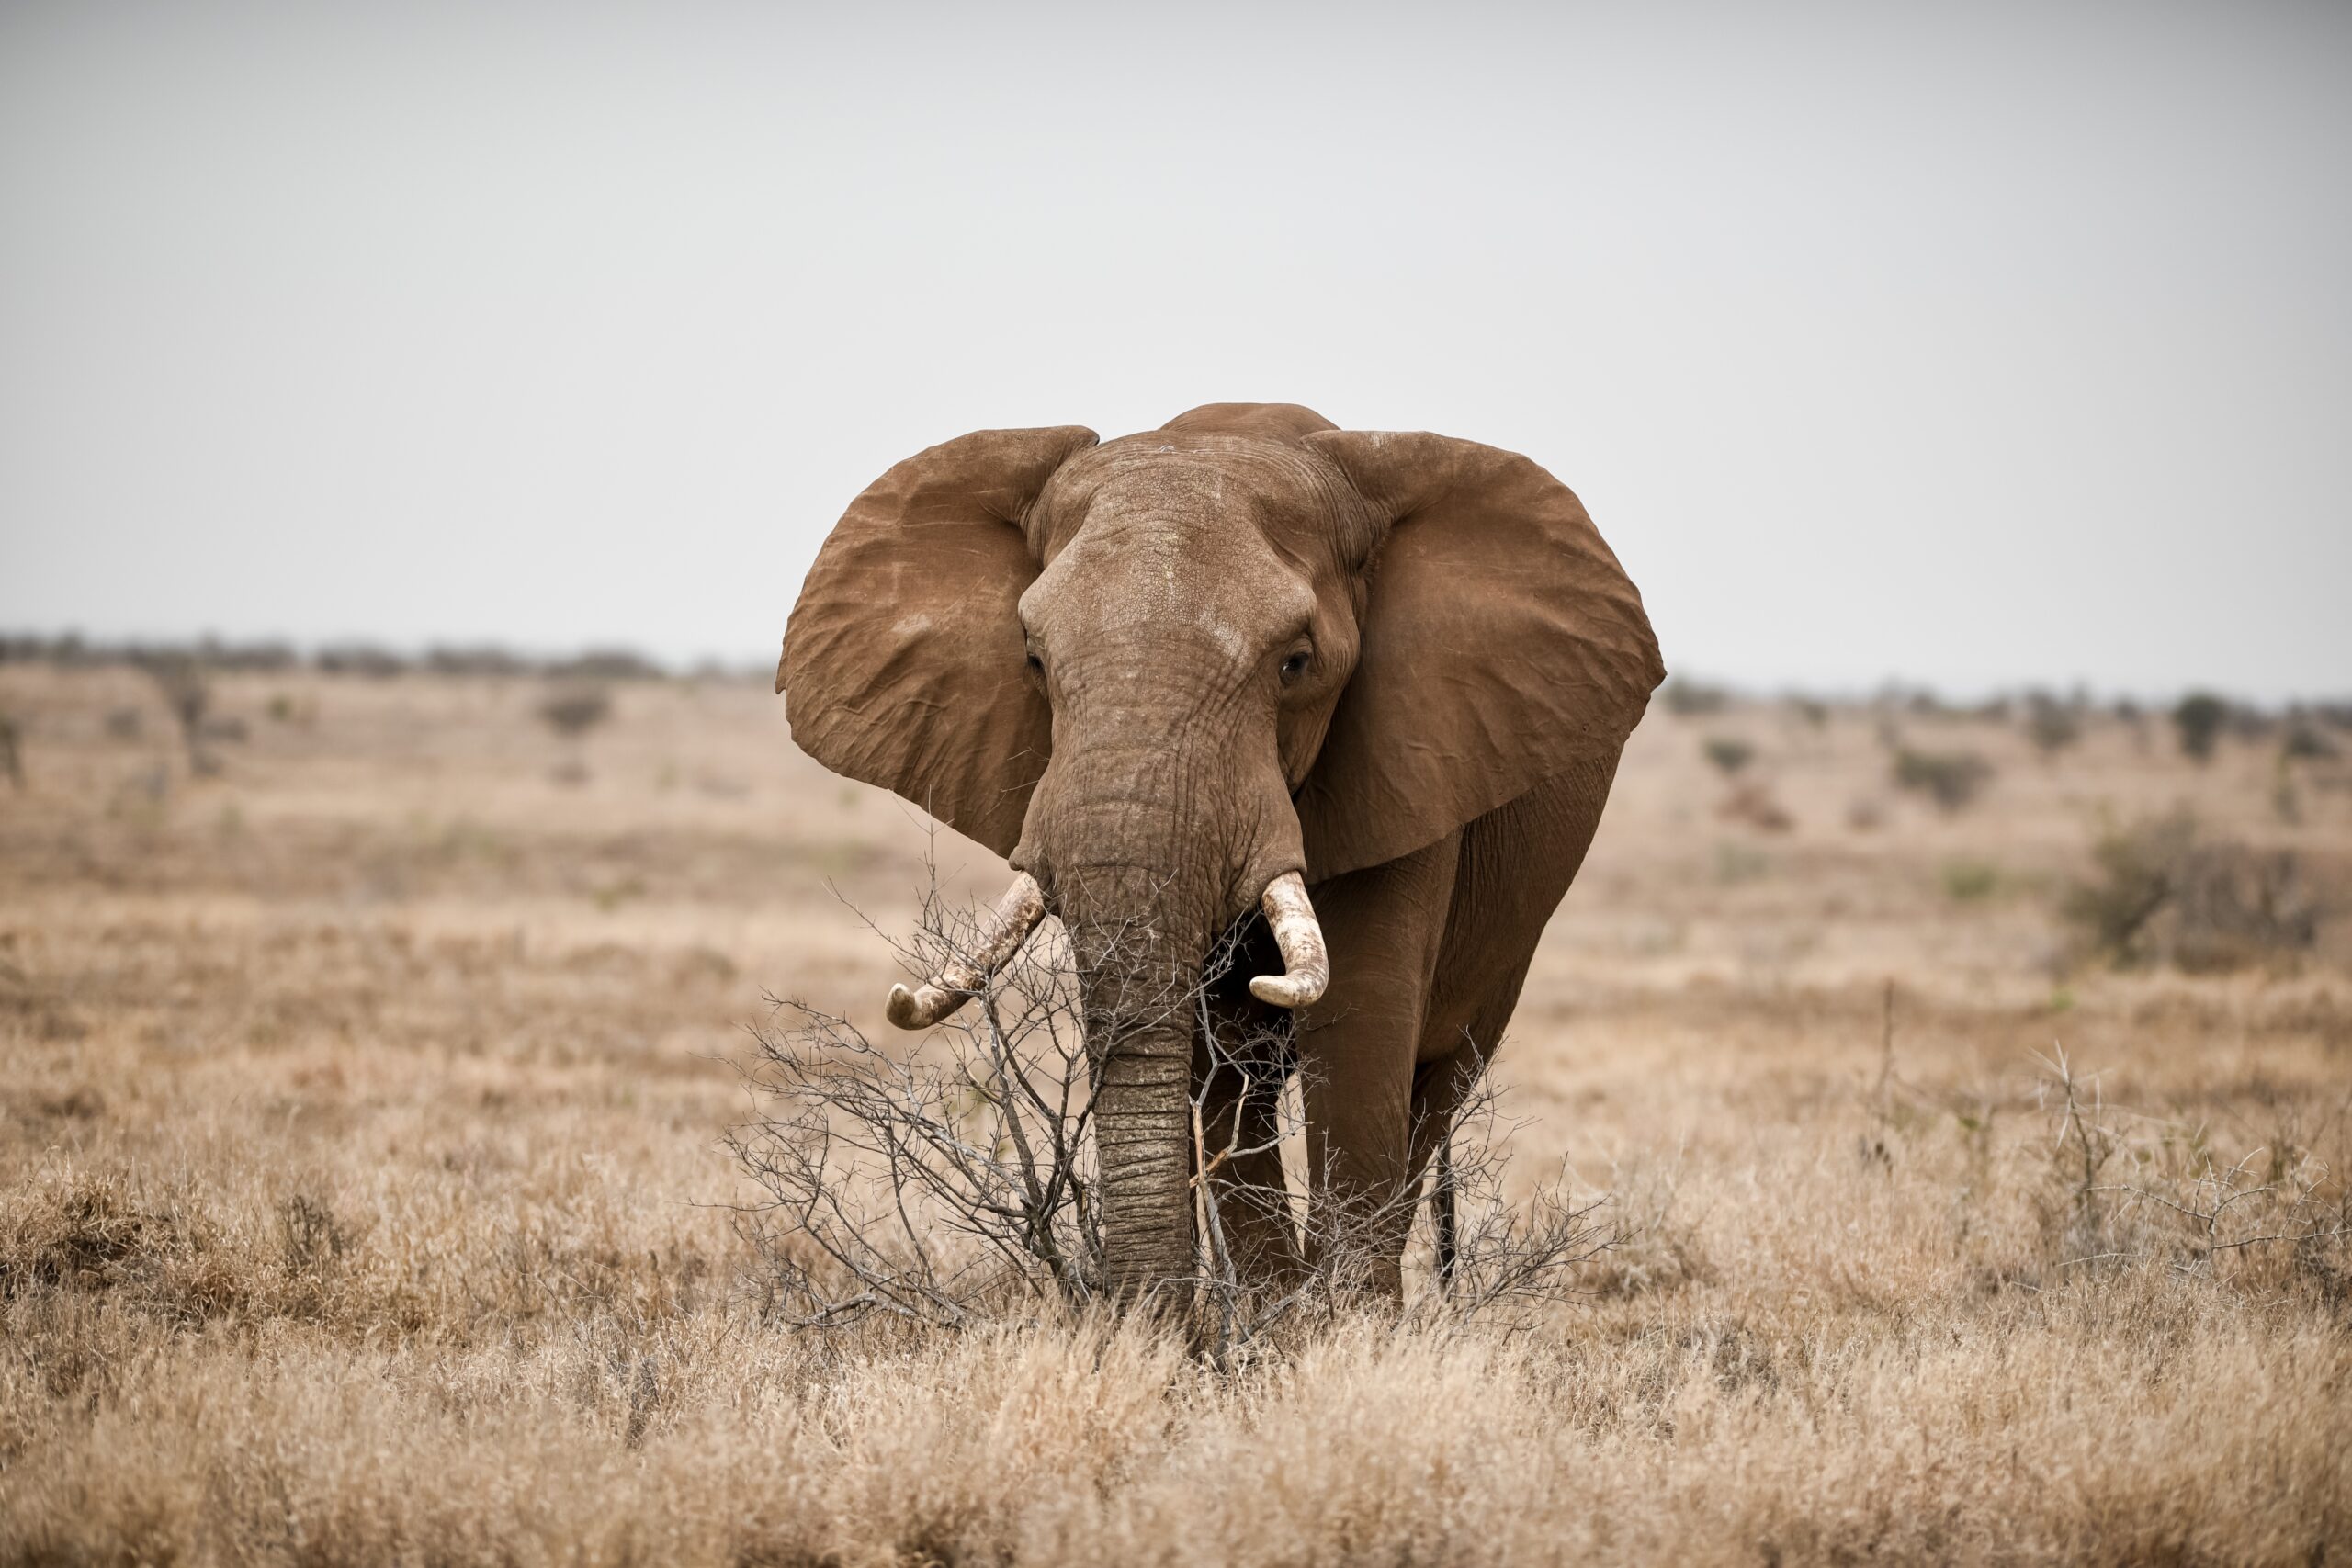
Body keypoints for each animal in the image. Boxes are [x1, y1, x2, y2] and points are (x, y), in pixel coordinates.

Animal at [779, 402, 1662, 1303]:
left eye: (1297, 663)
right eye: (1031, 658)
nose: (1147, 1317)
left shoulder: (1408, 760)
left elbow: (1361, 1018)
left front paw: (1340, 1328)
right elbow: (1224, 1053)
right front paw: (1270, 1322)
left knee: (1437, 1083)